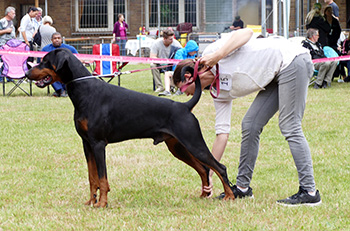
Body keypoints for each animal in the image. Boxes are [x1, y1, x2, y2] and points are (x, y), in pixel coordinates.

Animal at [26, 48, 235, 208]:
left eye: (45, 61)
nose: (26, 73)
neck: (84, 90)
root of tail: (184, 106)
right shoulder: (87, 144)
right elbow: (92, 177)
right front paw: (90, 202)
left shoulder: (98, 144)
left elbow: (102, 178)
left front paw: (102, 204)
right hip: (178, 147)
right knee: (203, 169)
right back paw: (203, 195)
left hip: (193, 142)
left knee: (219, 167)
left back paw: (230, 196)